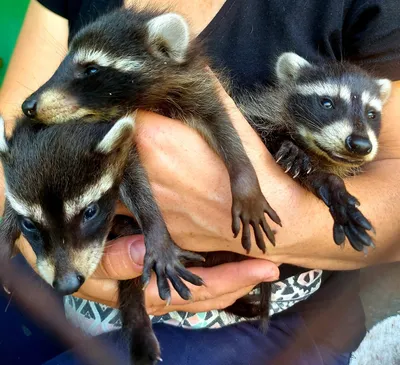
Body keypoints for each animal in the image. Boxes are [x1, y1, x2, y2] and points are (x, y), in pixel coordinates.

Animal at [0, 115, 268, 362]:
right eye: (29, 224)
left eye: (90, 212)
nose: (67, 284)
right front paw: (5, 234)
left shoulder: (125, 150)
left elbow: (138, 184)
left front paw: (154, 227)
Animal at [238, 52, 390, 252]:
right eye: (327, 103)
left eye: (371, 114)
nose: (360, 145)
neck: (317, 153)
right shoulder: (259, 112)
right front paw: (288, 146)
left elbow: (316, 176)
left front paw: (332, 185)